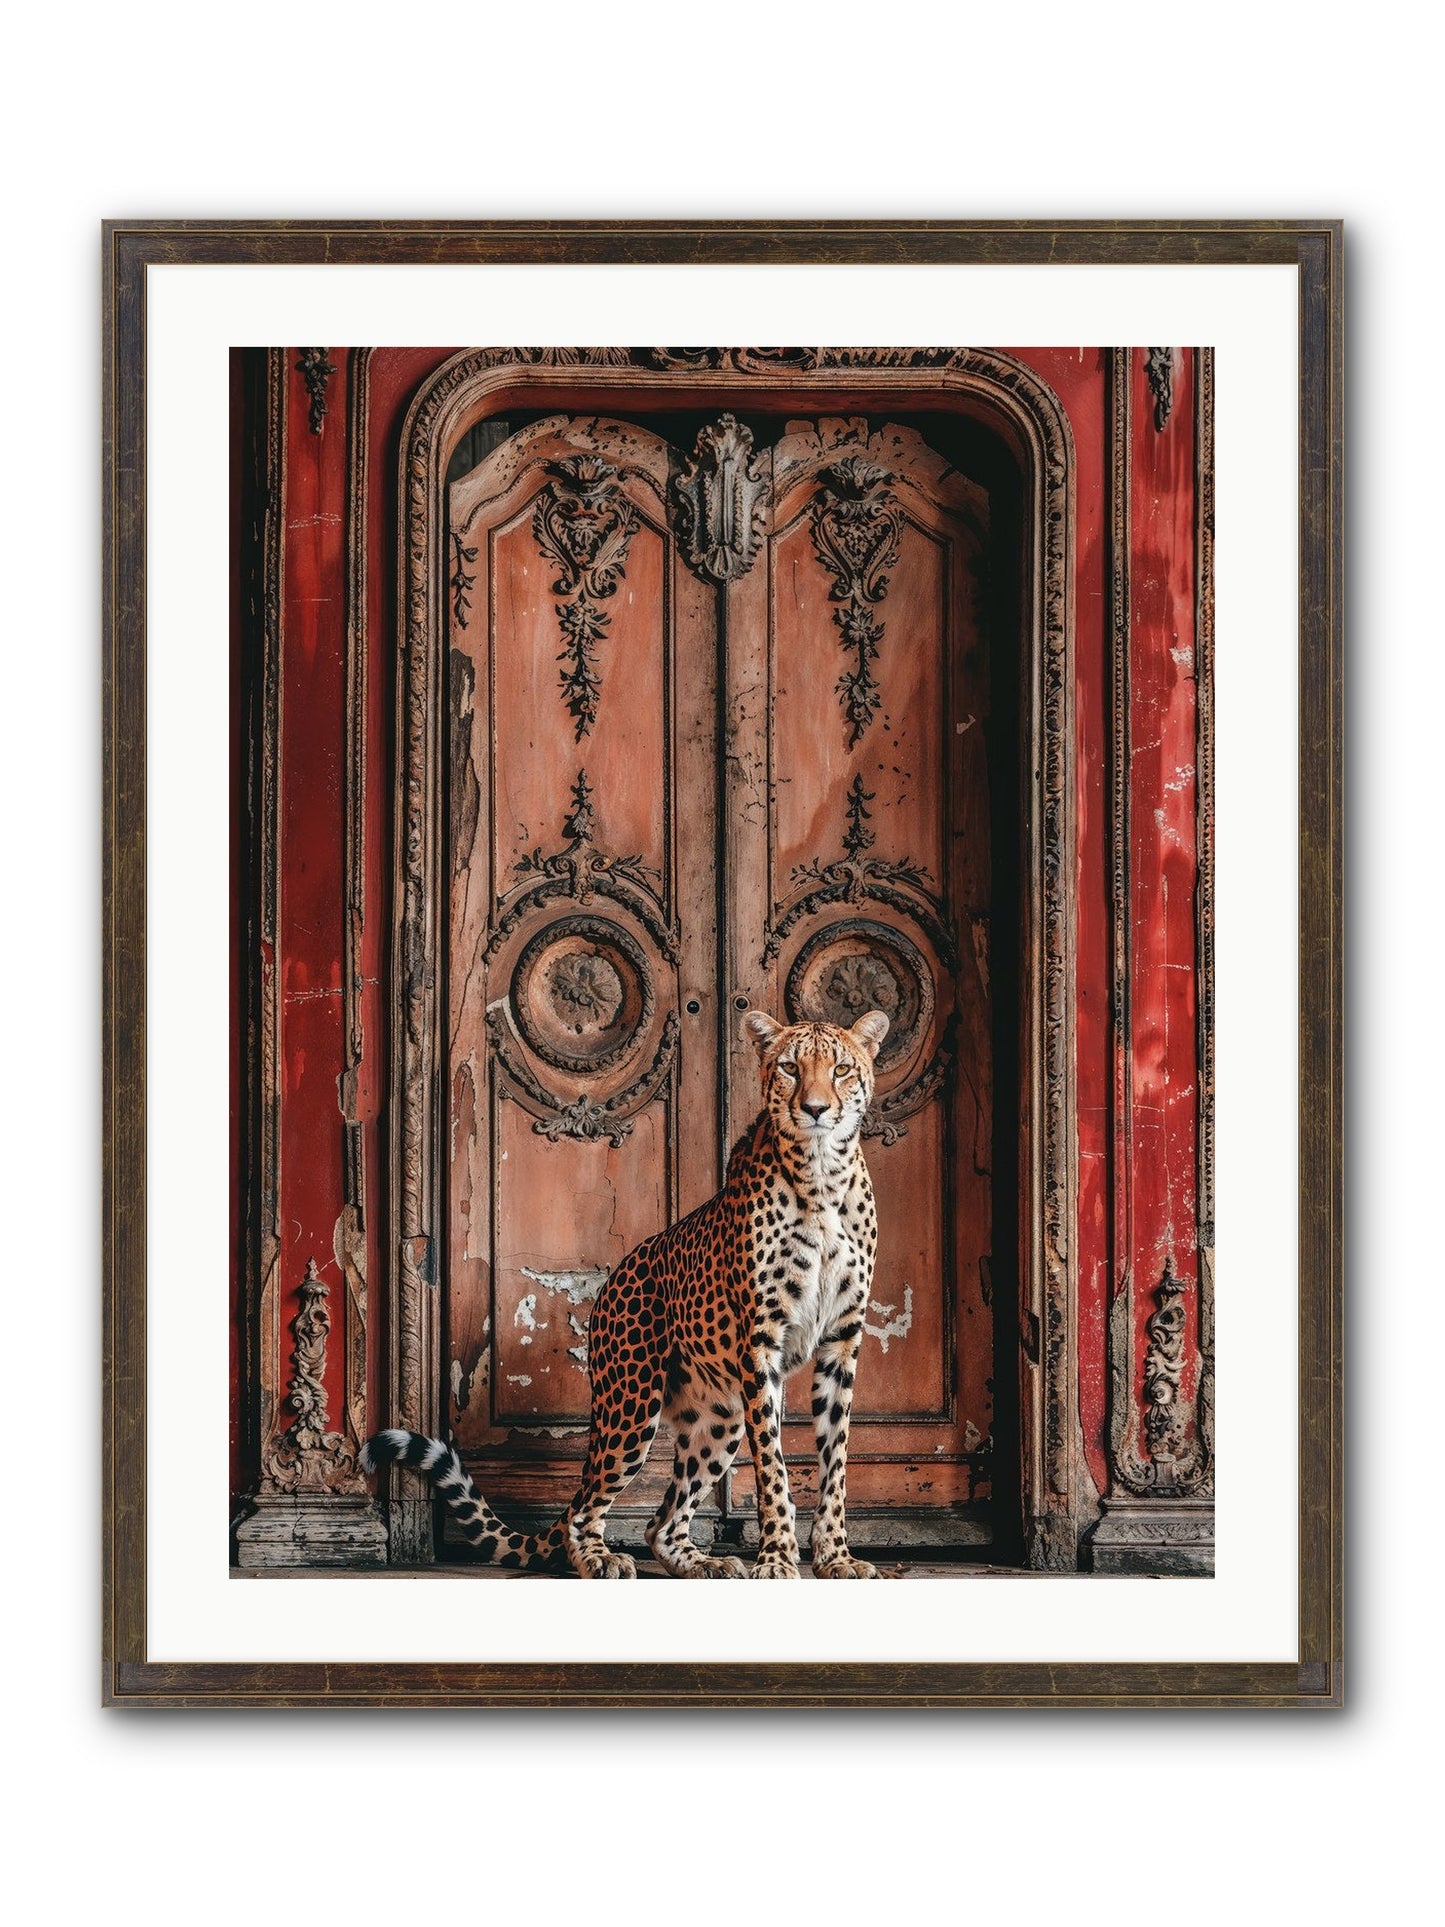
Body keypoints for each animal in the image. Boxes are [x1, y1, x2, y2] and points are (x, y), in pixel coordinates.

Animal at [362, 1006, 890, 1579]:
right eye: (791, 1068)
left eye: (841, 1069)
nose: (815, 1109)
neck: (822, 1176)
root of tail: (614, 1277)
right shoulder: (761, 1343)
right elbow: (773, 1464)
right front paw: (776, 1559)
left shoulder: (842, 1339)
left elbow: (835, 1461)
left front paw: (836, 1557)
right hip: (632, 1405)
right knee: (585, 1508)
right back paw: (601, 1558)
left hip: (719, 1417)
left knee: (659, 1523)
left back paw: (706, 1563)